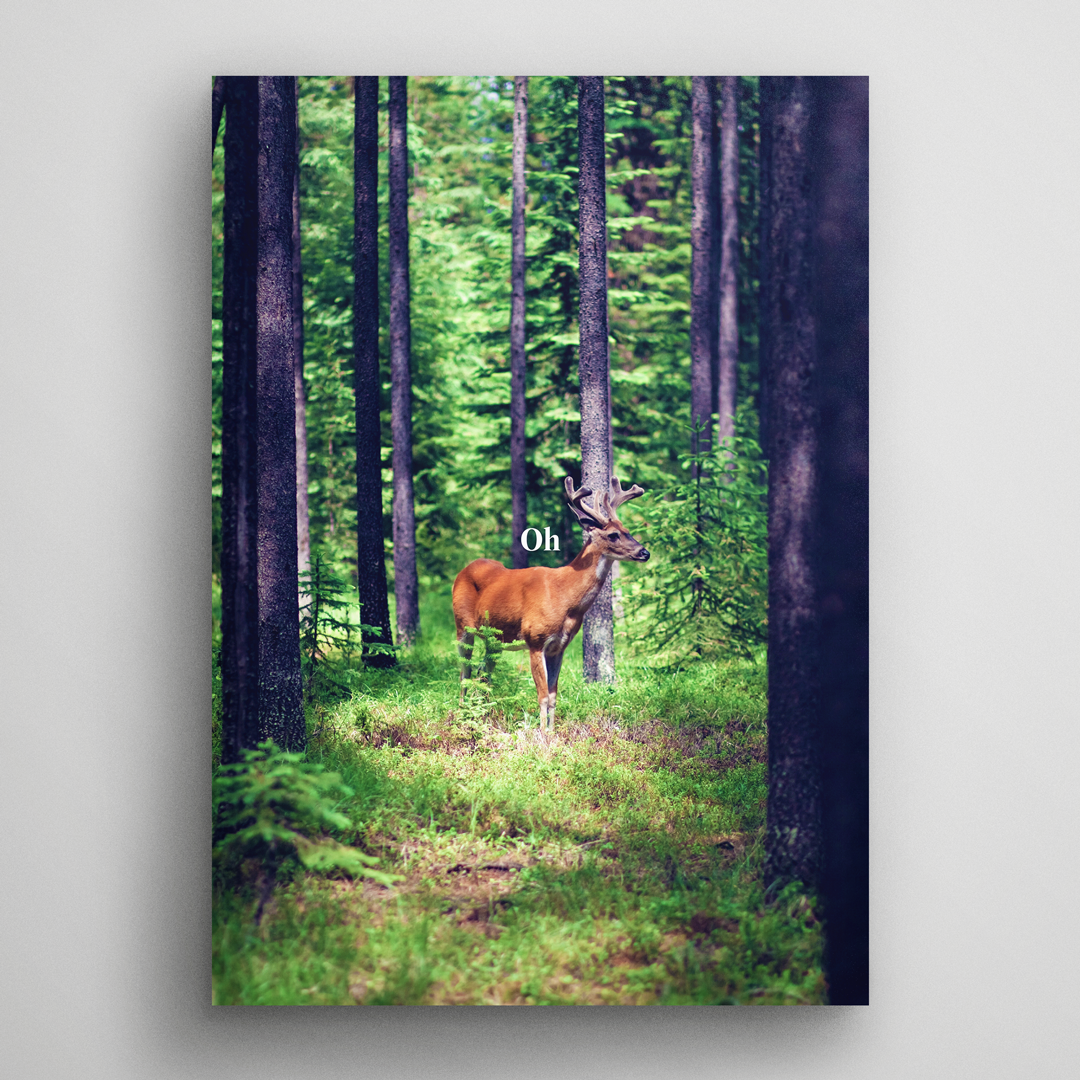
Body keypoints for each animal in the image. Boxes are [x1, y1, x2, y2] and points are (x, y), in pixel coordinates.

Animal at [452, 476, 649, 733]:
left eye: (628, 530)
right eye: (614, 535)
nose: (644, 552)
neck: (564, 597)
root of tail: (463, 570)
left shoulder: (559, 646)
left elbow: (554, 695)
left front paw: (551, 731)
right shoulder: (535, 640)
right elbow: (543, 695)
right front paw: (542, 735)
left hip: (494, 638)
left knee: (482, 673)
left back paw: (483, 716)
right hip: (461, 626)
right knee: (464, 672)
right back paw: (462, 716)